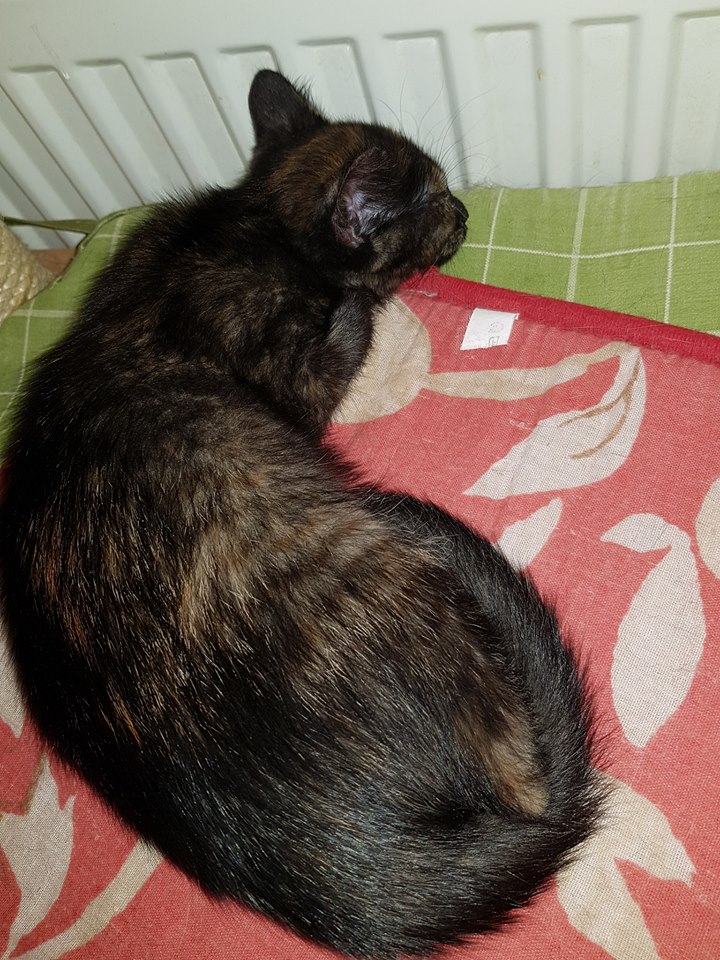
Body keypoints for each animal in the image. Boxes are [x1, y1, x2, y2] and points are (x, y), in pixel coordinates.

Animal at [0, 71, 602, 959]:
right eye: (433, 197)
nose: (464, 207)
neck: (257, 219)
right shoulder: (295, 371)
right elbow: (342, 331)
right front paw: (360, 302)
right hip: (398, 574)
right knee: (525, 775)